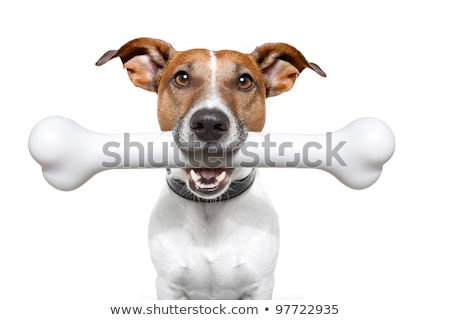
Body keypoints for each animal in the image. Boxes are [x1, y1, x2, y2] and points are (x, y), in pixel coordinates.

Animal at [96, 38, 326, 300]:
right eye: (182, 78)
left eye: (244, 81)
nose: (208, 123)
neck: (210, 210)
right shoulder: (168, 287)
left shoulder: (260, 287)